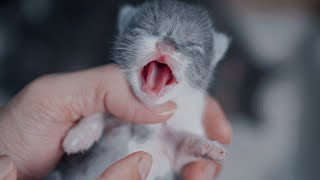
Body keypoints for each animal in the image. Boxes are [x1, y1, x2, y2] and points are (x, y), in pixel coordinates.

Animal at [48, 0, 230, 179]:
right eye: (145, 29)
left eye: (194, 46)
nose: (167, 45)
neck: (147, 127)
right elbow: (101, 113)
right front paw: (80, 134)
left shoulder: (176, 150)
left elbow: (183, 148)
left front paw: (207, 146)